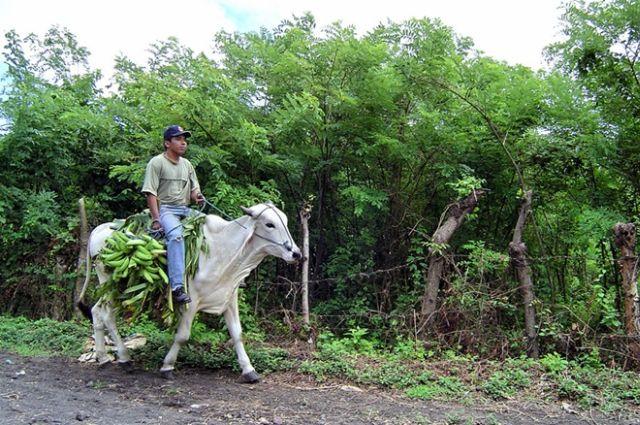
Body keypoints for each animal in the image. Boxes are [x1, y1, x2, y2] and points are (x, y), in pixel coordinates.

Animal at [76, 202, 302, 380]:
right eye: (269, 224)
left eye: (285, 221)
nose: (296, 254)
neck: (224, 251)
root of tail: (99, 229)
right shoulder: (190, 301)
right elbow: (183, 336)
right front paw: (167, 366)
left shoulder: (229, 298)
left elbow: (237, 334)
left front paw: (249, 370)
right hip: (109, 283)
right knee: (107, 315)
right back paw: (123, 357)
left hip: (114, 289)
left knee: (96, 311)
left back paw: (104, 358)